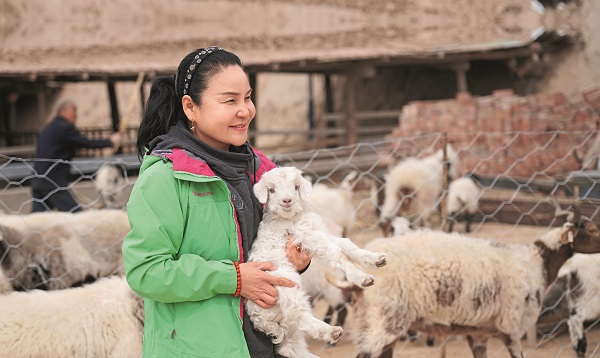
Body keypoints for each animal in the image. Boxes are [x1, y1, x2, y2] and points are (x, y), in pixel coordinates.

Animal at [246, 166, 386, 358]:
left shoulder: (319, 233)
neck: (293, 217)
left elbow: (346, 244)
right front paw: (361, 277)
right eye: (271, 190)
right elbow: (337, 253)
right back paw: (331, 331)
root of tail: (259, 319)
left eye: (296, 186)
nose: (287, 200)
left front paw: (374, 259)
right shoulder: (309, 237)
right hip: (286, 284)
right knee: (297, 312)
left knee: (292, 346)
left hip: (286, 322)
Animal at [328, 207, 600, 358]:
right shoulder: (511, 326)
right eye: (593, 230)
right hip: (385, 319)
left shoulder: (479, 332)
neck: (537, 261)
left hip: (373, 321)